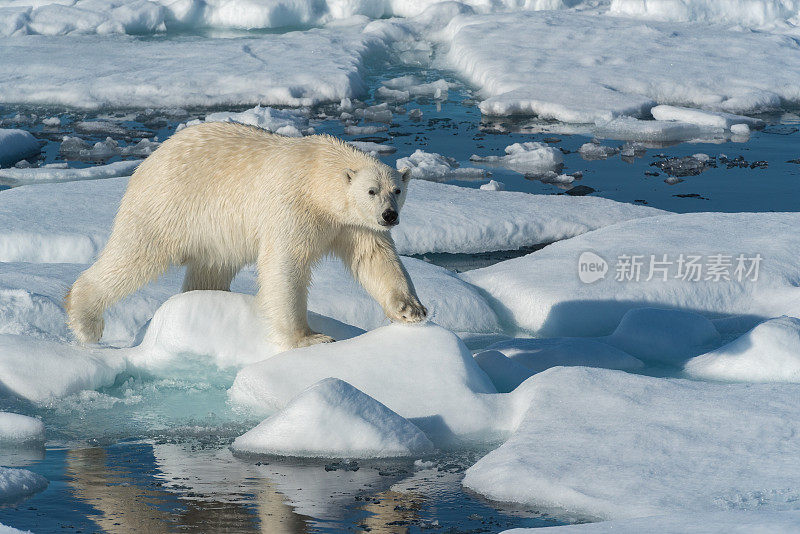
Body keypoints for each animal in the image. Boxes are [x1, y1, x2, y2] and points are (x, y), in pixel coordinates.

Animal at [66, 123, 428, 350]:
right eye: (371, 190)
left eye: (397, 190)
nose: (389, 215)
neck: (317, 177)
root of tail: (148, 161)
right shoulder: (293, 206)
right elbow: (284, 265)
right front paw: (309, 338)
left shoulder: (354, 225)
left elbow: (376, 259)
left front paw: (412, 310)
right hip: (166, 205)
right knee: (134, 255)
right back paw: (85, 320)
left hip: (212, 234)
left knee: (210, 268)